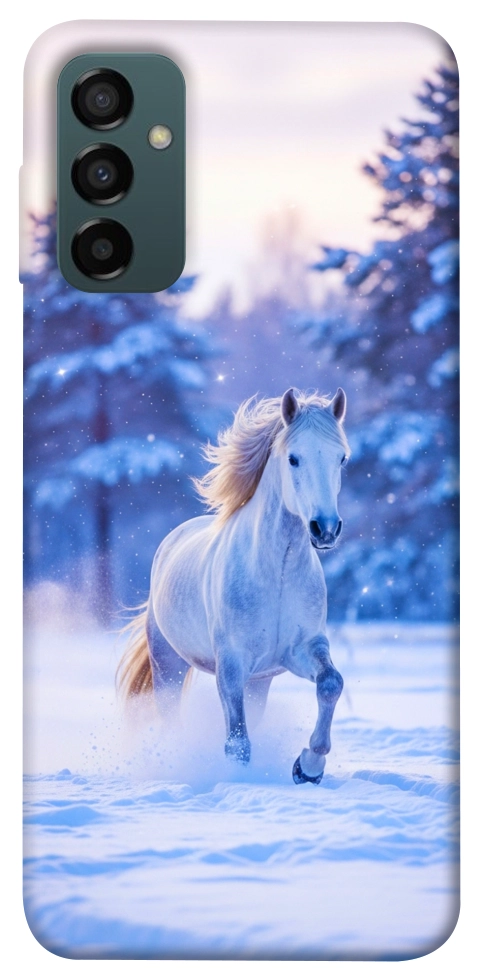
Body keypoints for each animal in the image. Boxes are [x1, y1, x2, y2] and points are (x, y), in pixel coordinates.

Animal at [118, 387, 350, 784]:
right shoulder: (231, 664)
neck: (277, 573)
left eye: (341, 459)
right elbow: (237, 742)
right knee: (170, 717)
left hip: (259, 682)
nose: (325, 529)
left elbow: (331, 683)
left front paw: (308, 767)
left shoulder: (301, 649)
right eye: (294, 458)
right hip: (168, 665)